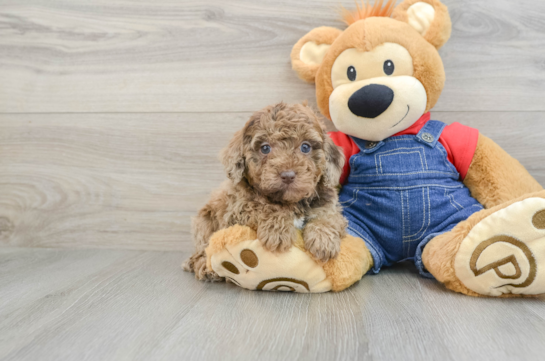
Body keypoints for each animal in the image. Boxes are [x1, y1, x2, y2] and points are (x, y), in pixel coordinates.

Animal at [183, 102, 344, 282]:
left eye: (305, 147)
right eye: (265, 148)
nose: (288, 175)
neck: (290, 202)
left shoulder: (328, 204)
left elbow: (328, 216)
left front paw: (323, 240)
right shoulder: (236, 209)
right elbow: (264, 206)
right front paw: (278, 231)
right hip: (204, 222)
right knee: (203, 249)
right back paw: (206, 267)